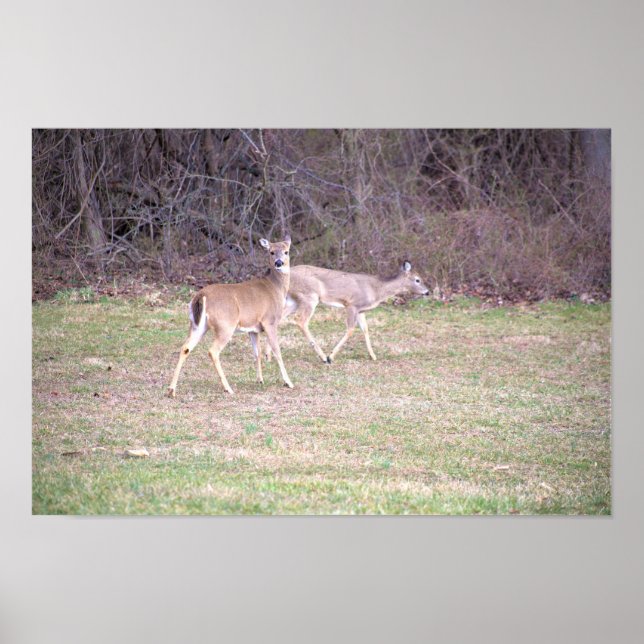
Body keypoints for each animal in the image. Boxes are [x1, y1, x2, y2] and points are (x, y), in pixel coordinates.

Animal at [167, 235, 294, 396]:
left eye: (286, 251)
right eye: (271, 252)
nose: (279, 263)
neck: (276, 288)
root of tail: (201, 295)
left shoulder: (253, 329)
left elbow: (257, 353)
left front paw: (260, 380)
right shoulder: (270, 321)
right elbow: (277, 351)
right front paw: (288, 382)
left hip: (197, 324)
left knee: (185, 347)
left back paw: (171, 390)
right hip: (225, 325)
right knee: (213, 351)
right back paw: (228, 388)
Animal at [265, 261, 430, 364]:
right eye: (417, 280)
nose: (427, 292)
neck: (376, 290)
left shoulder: (361, 310)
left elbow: (365, 329)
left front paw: (373, 356)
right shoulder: (352, 305)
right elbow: (350, 329)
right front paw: (331, 356)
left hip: (293, 300)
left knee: (277, 319)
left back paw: (268, 356)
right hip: (309, 296)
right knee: (301, 320)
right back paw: (323, 357)